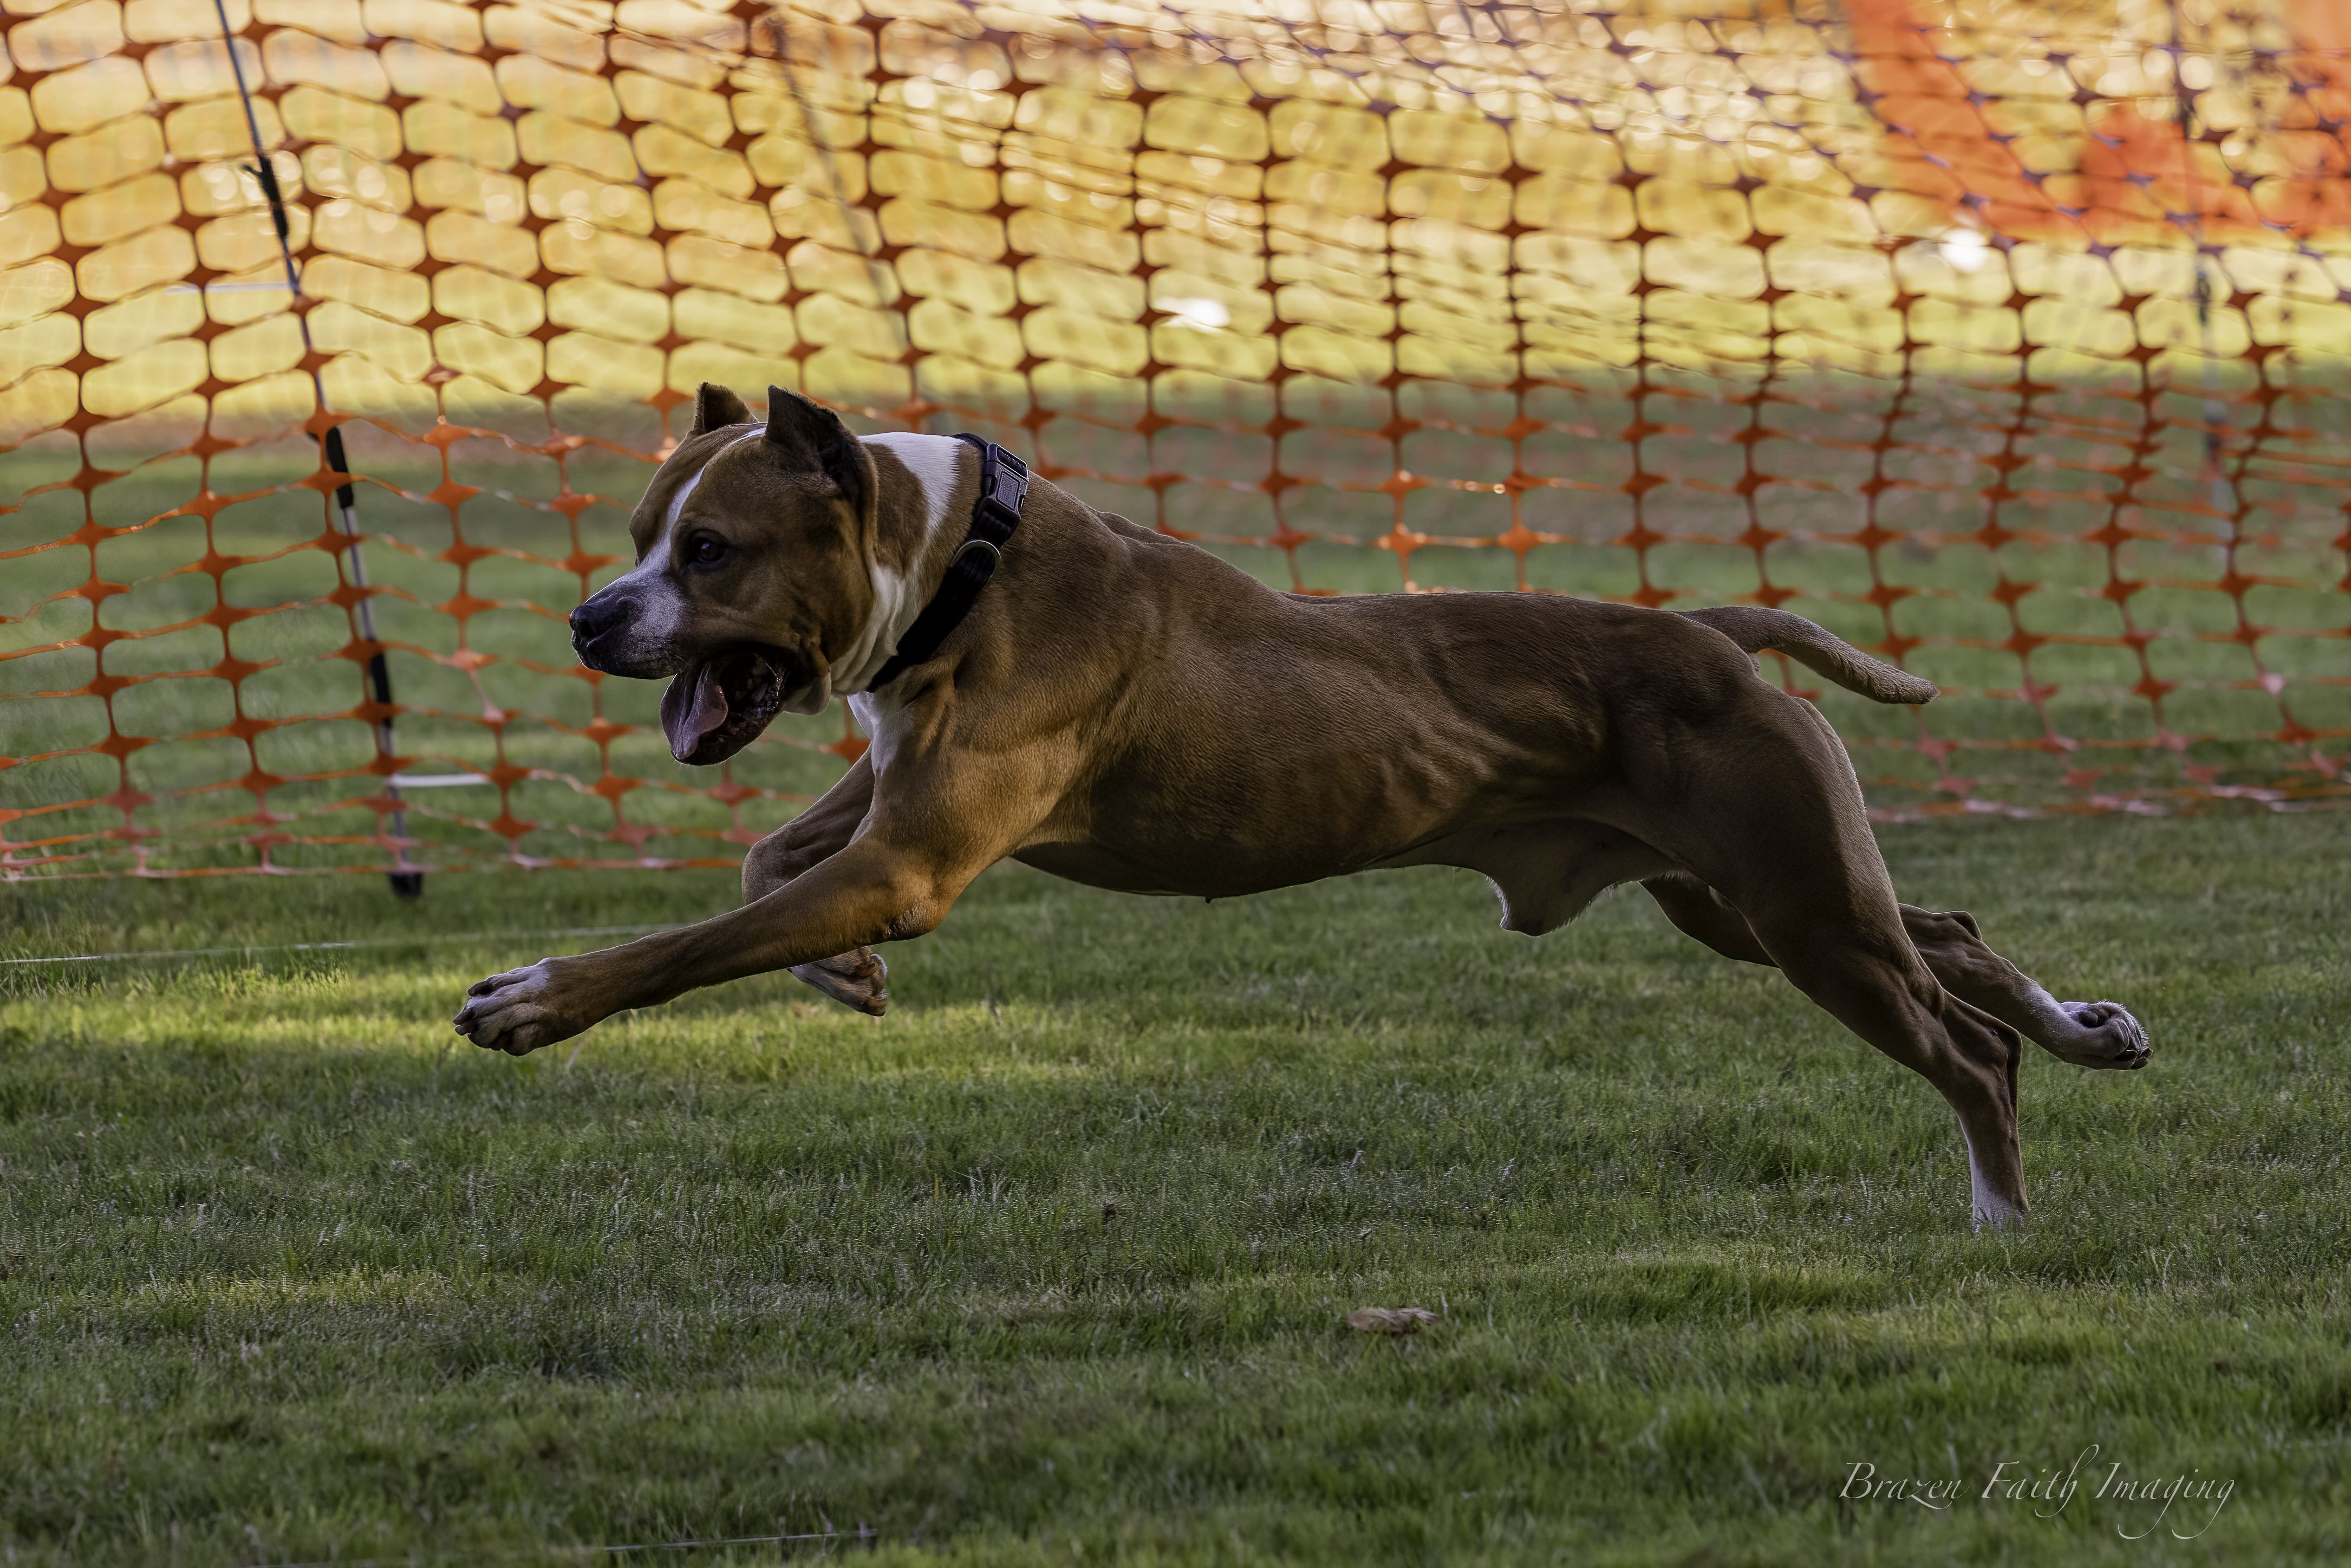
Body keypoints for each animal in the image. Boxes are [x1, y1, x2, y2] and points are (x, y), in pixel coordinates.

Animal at [453, 385, 2153, 1232]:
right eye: (639, 533)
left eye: (711, 551)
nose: (591, 618)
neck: (956, 565)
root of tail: (1706, 632)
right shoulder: (887, 802)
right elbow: (761, 862)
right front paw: (835, 974)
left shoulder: (913, 856)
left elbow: (682, 940)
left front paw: (534, 996)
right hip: (1736, 896)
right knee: (1948, 926)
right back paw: (2090, 1030)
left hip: (1793, 907)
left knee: (1959, 1042)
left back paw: (2003, 1211)